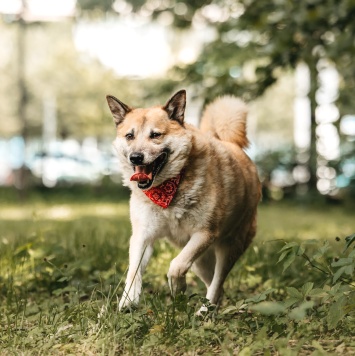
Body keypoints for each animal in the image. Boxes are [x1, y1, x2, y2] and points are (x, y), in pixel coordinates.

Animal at [105, 89, 262, 312]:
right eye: (130, 136)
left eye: (155, 135)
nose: (135, 157)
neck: (168, 189)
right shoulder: (142, 236)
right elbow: (133, 271)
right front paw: (128, 302)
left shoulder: (204, 233)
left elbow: (176, 266)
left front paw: (177, 289)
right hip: (199, 261)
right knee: (216, 286)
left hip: (229, 247)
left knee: (217, 282)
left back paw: (204, 313)